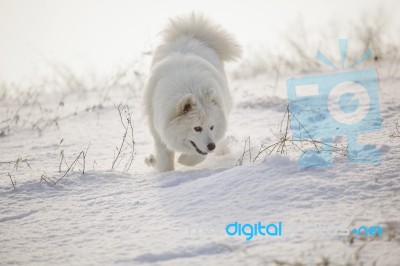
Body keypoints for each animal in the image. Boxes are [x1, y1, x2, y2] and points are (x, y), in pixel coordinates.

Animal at [145, 12, 242, 171]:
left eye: (211, 127)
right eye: (197, 128)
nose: (211, 146)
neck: (190, 88)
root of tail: (190, 35)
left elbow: (198, 155)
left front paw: (184, 160)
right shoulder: (158, 129)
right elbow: (165, 157)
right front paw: (166, 173)